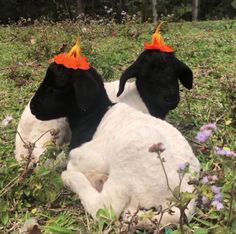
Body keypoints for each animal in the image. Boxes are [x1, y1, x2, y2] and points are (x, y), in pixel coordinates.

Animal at [28, 61, 200, 228]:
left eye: (55, 88)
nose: (32, 107)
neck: (93, 116)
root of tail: (184, 195)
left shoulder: (90, 157)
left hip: (126, 160)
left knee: (106, 208)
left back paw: (71, 178)